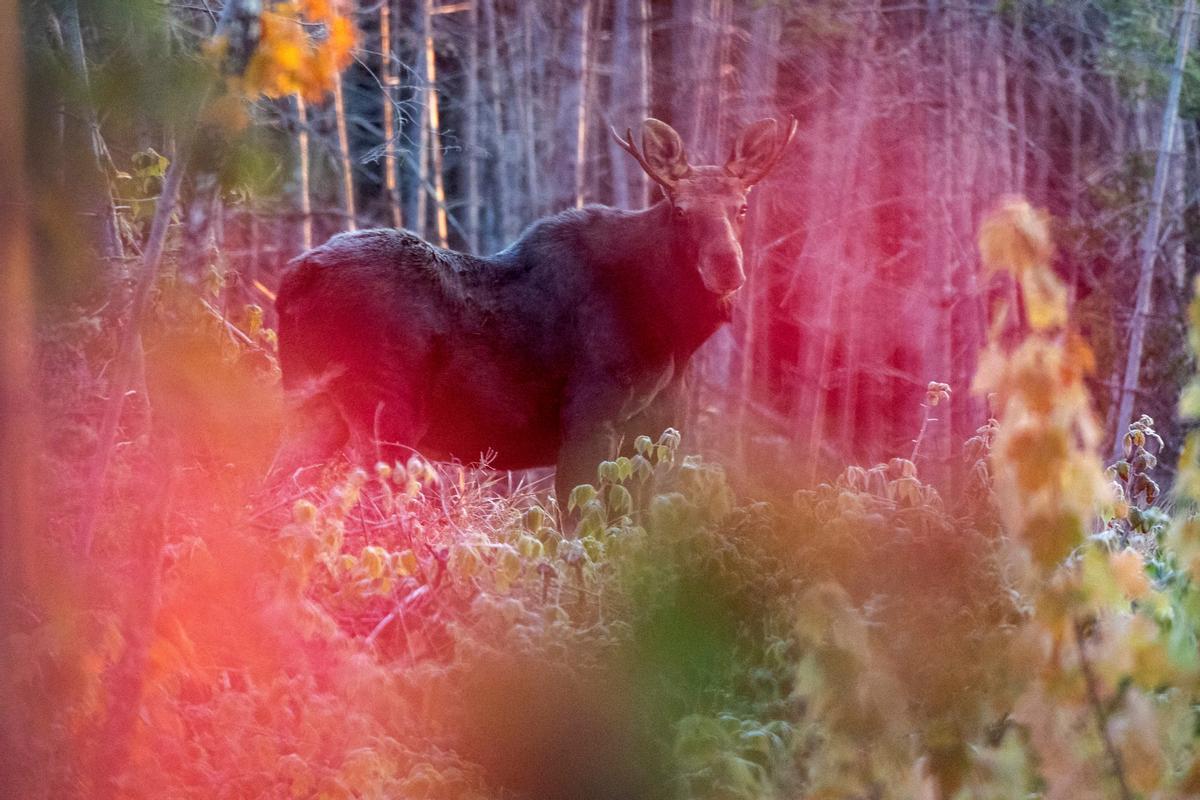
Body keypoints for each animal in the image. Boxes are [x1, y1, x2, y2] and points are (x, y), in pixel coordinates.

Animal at [274, 117, 792, 501]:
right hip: (385, 410)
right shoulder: (590, 418)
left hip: (313, 405)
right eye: (681, 210)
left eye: (742, 208)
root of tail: (295, 277)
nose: (726, 268)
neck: (673, 335)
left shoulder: (656, 432)